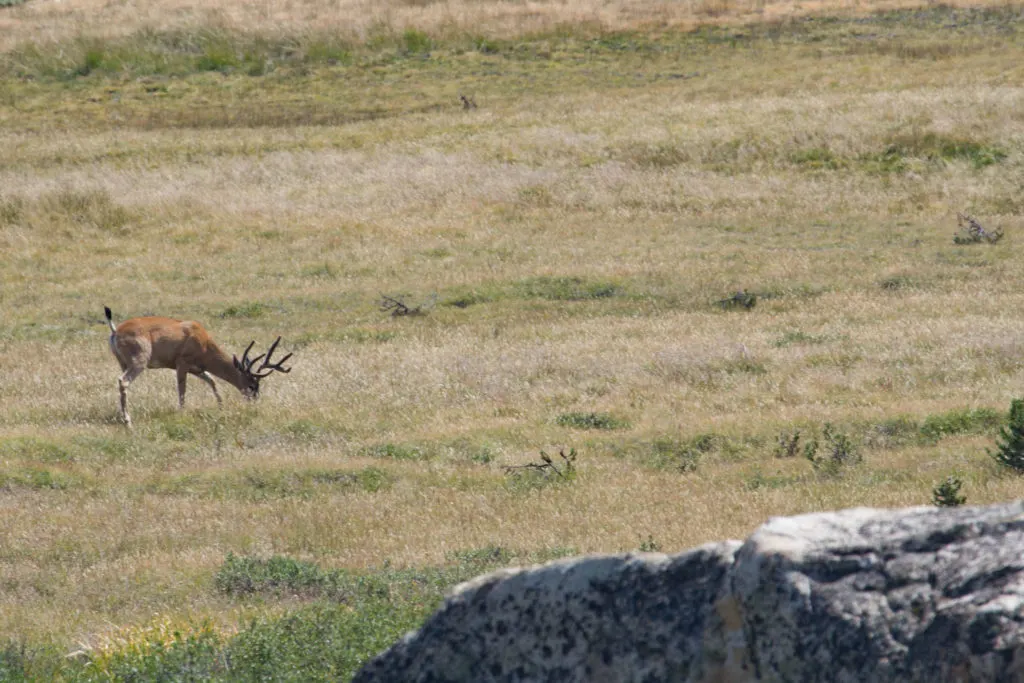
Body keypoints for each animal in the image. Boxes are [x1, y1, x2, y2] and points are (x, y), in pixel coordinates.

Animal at [104, 306, 292, 426]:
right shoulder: (182, 364)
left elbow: (212, 381)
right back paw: (128, 421)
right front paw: (182, 413)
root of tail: (115, 331)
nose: (254, 401)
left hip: (123, 363)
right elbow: (182, 389)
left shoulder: (197, 369)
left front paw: (221, 407)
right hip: (139, 362)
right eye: (252, 385)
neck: (203, 341)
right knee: (123, 381)